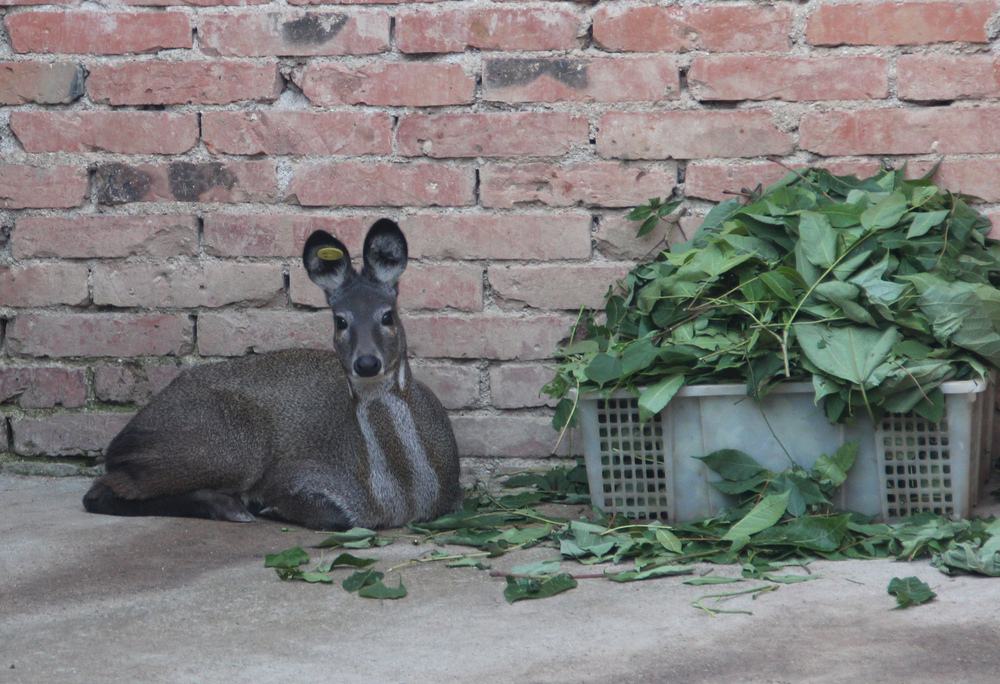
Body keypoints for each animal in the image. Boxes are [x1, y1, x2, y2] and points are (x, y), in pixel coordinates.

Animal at [82, 219, 464, 528]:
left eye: (387, 315)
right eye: (340, 320)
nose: (366, 362)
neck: (400, 499)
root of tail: (121, 442)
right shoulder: (294, 474)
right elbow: (335, 517)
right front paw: (274, 508)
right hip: (230, 449)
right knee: (98, 492)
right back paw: (229, 507)